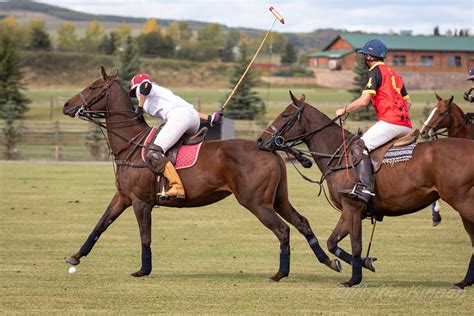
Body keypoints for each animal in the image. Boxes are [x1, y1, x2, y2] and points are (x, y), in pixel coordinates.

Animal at [62, 66, 340, 282]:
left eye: (93, 87)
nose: (66, 105)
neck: (130, 144)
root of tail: (270, 149)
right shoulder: (123, 197)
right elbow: (100, 224)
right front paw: (75, 257)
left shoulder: (141, 201)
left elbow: (145, 236)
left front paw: (143, 269)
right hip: (279, 199)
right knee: (302, 222)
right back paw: (329, 261)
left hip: (256, 202)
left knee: (282, 230)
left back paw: (280, 273)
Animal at [258, 91, 474, 288]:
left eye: (285, 115)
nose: (261, 140)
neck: (339, 155)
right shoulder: (351, 210)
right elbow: (332, 242)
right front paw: (365, 263)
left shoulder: (353, 207)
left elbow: (356, 245)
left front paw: (353, 280)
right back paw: (464, 282)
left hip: (462, 201)